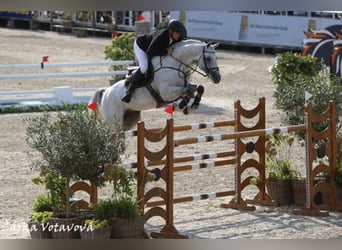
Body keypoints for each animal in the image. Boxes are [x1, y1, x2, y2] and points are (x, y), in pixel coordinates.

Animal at [89, 39, 220, 131]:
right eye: (208, 58)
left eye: (216, 58)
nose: (217, 78)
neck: (176, 65)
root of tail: (105, 91)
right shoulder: (166, 93)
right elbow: (186, 90)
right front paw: (185, 105)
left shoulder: (181, 87)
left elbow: (197, 88)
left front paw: (190, 106)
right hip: (113, 121)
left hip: (129, 120)